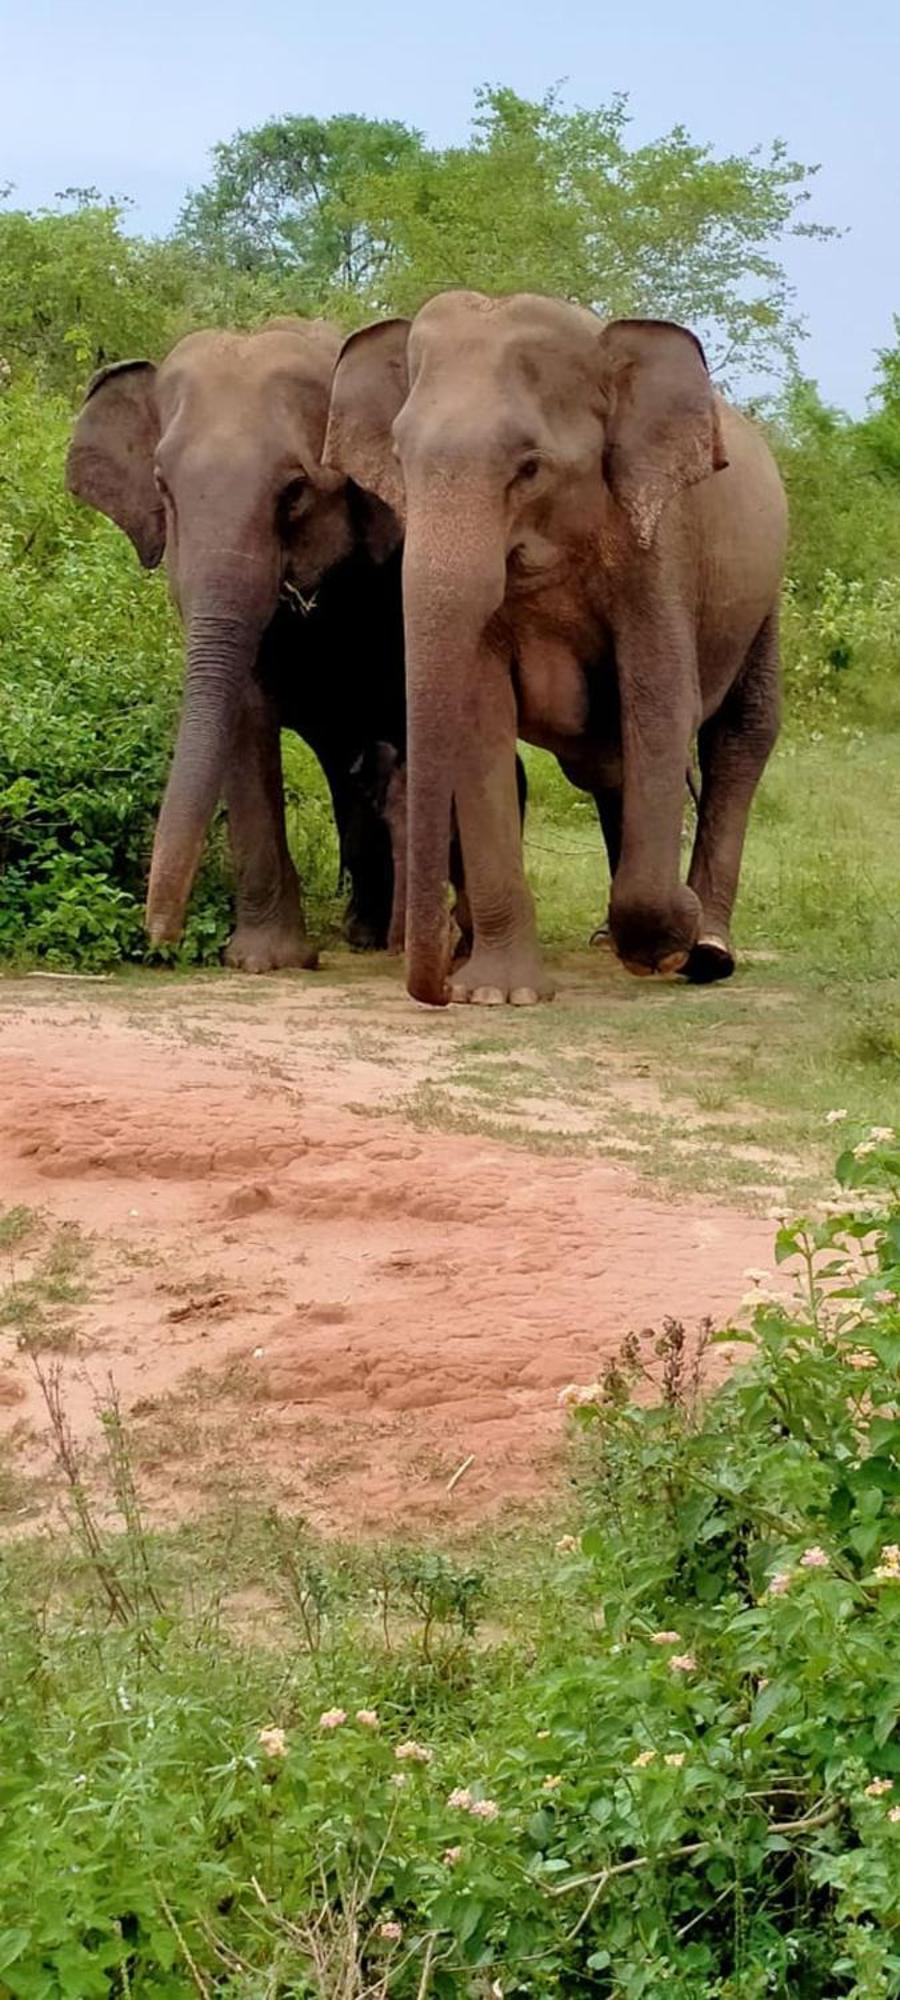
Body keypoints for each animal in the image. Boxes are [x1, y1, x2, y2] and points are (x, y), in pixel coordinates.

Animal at [326, 290, 788, 1008]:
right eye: (399, 461)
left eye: (530, 467)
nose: (438, 984)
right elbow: (481, 716)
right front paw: (498, 995)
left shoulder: (660, 545)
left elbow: (660, 699)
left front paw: (671, 940)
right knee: (612, 764)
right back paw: (614, 938)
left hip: (762, 595)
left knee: (740, 737)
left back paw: (708, 950)